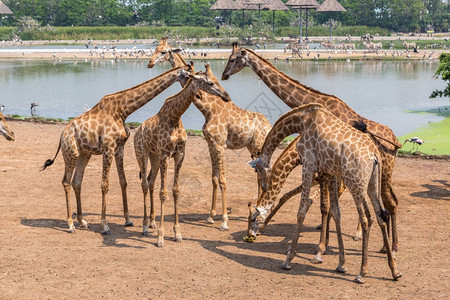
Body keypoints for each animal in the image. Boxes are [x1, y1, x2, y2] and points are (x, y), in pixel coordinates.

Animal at [42, 65, 195, 234]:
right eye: (189, 76)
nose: (198, 93)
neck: (123, 110)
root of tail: (62, 134)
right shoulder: (108, 148)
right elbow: (104, 185)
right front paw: (105, 226)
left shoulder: (119, 148)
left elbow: (123, 182)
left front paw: (128, 220)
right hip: (71, 152)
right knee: (66, 181)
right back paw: (70, 224)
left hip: (84, 154)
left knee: (76, 182)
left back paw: (82, 221)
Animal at [133, 64, 229, 247]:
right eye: (209, 82)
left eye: (217, 80)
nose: (226, 96)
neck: (175, 117)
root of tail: (137, 130)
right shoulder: (165, 154)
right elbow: (163, 193)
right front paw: (161, 237)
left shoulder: (179, 155)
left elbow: (176, 190)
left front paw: (177, 233)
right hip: (141, 153)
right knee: (144, 184)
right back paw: (145, 227)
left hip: (154, 157)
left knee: (150, 181)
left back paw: (152, 222)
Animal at [147, 37, 270, 230]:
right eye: (155, 49)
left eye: (163, 51)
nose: (150, 63)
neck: (208, 110)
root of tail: (269, 124)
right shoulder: (211, 144)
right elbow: (214, 178)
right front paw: (211, 216)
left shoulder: (220, 145)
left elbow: (223, 180)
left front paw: (224, 221)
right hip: (252, 148)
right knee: (259, 176)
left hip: (258, 146)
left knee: (262, 176)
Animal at [223, 41, 402, 253]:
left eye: (232, 59)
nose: (224, 75)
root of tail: (396, 141)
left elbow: (325, 204)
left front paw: (322, 245)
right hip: (381, 172)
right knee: (389, 201)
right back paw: (383, 246)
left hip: (383, 170)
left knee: (389, 202)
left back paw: (388, 245)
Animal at [251, 105, 402, 284]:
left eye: (252, 218)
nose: (250, 236)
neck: (300, 122)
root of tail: (375, 156)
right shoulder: (329, 173)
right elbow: (335, 212)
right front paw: (341, 264)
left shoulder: (308, 166)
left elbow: (302, 211)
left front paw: (288, 260)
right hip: (372, 183)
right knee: (381, 215)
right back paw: (394, 270)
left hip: (356, 183)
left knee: (367, 218)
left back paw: (362, 273)